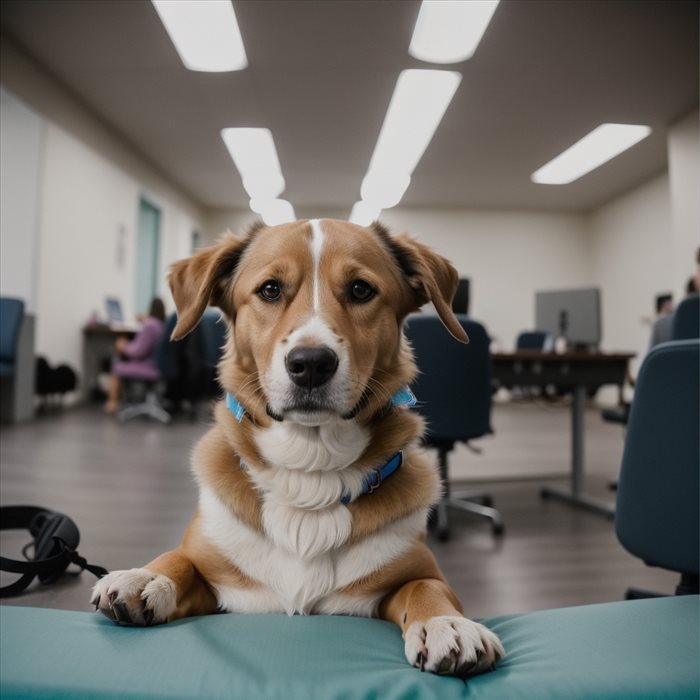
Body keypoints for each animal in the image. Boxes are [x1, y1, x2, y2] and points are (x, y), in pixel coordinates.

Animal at [91, 220, 504, 680]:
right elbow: (180, 560)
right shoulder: (213, 579)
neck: (309, 467)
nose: (310, 364)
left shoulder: (418, 572)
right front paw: (144, 577)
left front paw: (447, 623)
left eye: (361, 290)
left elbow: (426, 587)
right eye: (270, 289)